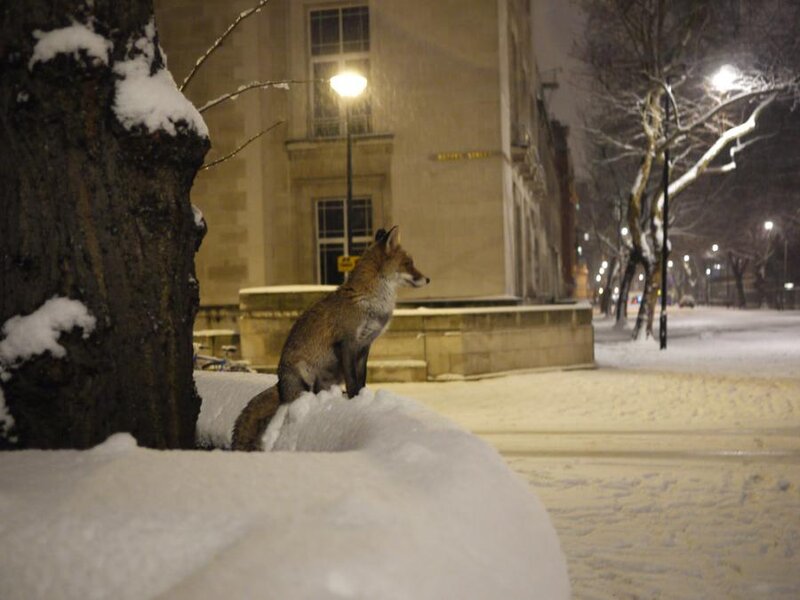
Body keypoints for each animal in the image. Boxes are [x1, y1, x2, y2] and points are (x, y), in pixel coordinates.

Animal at [232, 226, 429, 451]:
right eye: (409, 263)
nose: (428, 279)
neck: (369, 303)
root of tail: (280, 386)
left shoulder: (364, 346)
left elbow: (361, 379)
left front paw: (362, 398)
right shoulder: (347, 343)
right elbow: (352, 380)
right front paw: (354, 400)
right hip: (304, 376)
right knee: (298, 399)